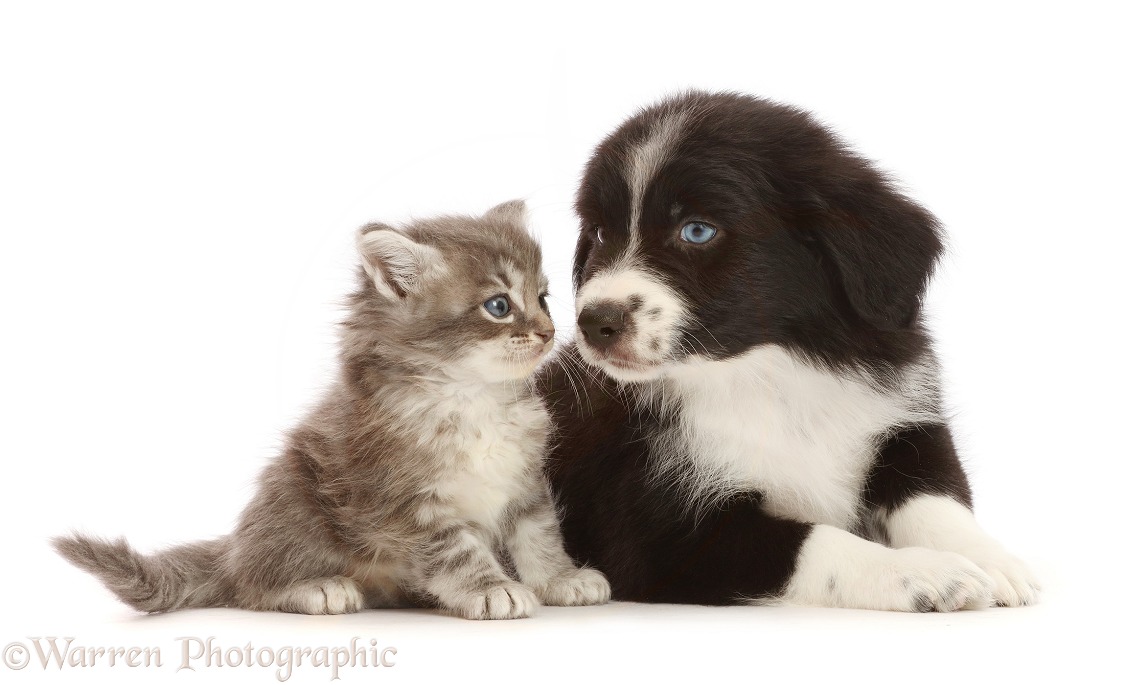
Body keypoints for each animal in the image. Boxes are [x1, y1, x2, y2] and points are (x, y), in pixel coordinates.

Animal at [53, 198, 610, 619]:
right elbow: (456, 550)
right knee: (252, 586)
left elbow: (539, 535)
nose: (549, 332)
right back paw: (315, 588)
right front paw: (491, 588)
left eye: (544, 298)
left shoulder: (525, 483)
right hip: (296, 496)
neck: (473, 397)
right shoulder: (405, 501)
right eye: (499, 305)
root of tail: (235, 547)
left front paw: (560, 579)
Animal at [537, 90, 1042, 610]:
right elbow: (820, 543)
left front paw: (990, 559)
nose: (593, 323)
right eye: (599, 233)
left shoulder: (906, 419)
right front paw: (925, 573)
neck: (767, 371)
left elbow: (936, 495)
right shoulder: (656, 533)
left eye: (697, 231)